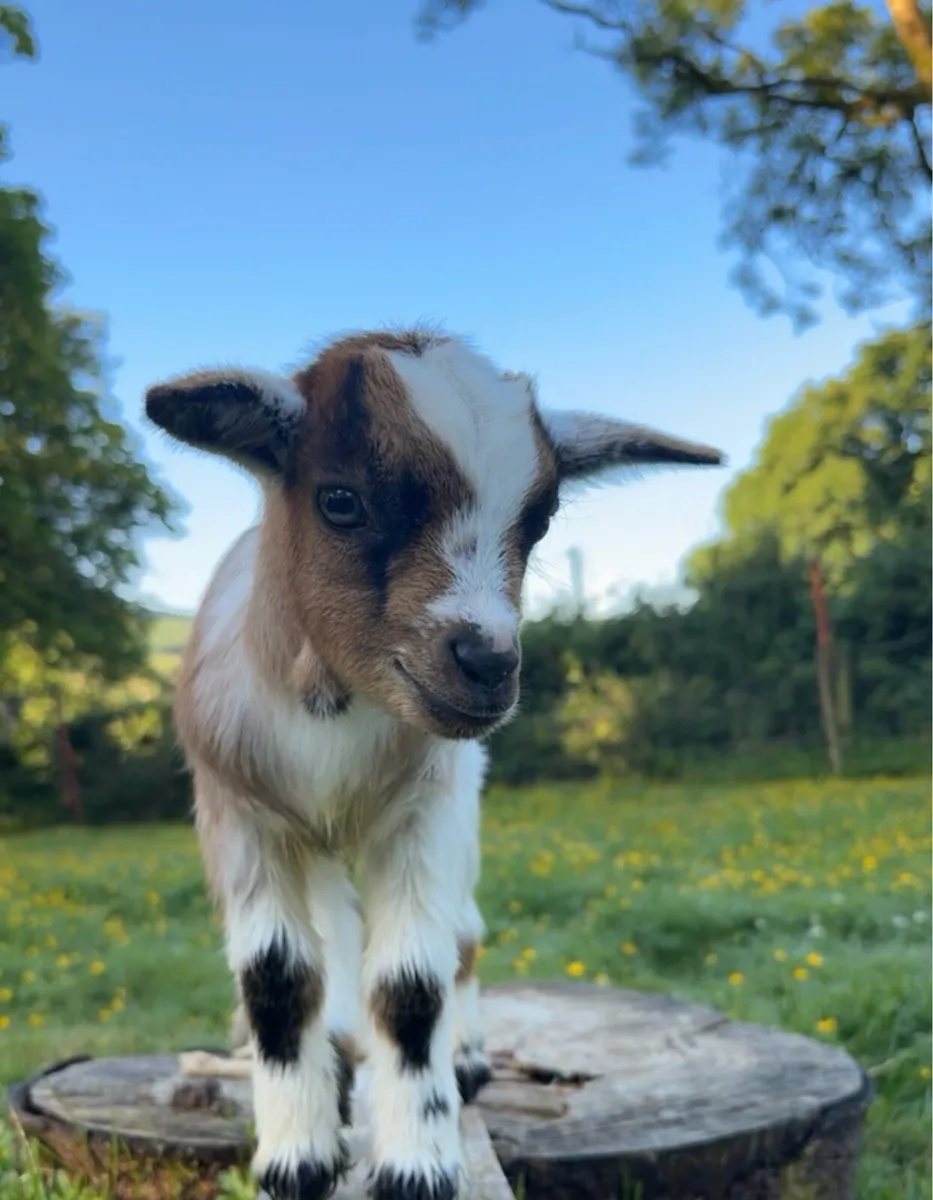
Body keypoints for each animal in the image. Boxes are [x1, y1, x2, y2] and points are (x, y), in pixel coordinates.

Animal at [144, 328, 723, 1200]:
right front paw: (295, 1158)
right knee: (338, 937)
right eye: (339, 500)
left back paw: (467, 1061)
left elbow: (413, 985)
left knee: (464, 937)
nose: (487, 664)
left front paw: (417, 1162)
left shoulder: (426, 811)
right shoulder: (238, 816)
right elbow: (277, 981)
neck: (330, 715)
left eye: (540, 519)